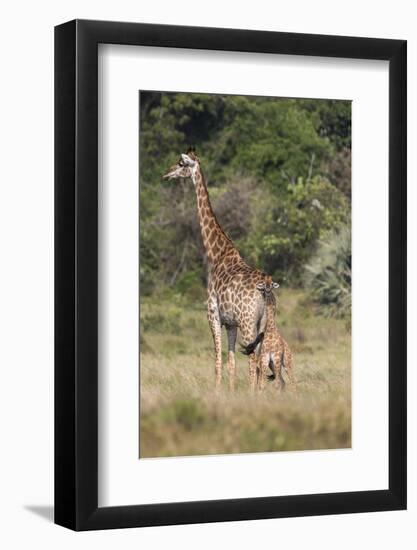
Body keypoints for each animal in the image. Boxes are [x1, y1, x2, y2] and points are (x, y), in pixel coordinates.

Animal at [161, 150, 272, 392]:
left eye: (181, 163)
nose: (166, 173)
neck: (216, 254)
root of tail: (265, 288)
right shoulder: (230, 323)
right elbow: (231, 362)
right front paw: (229, 392)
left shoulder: (213, 315)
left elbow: (217, 361)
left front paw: (217, 392)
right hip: (263, 322)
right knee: (260, 358)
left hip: (249, 323)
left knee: (253, 361)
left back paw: (253, 395)